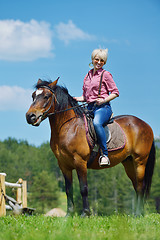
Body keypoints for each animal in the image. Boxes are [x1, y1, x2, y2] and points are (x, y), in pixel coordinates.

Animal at [26, 78, 155, 216]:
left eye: (46, 96)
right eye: (33, 96)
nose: (30, 116)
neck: (68, 127)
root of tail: (145, 125)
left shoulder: (80, 162)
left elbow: (83, 188)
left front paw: (85, 213)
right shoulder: (64, 165)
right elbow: (68, 189)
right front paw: (69, 214)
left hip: (139, 161)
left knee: (141, 186)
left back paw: (138, 213)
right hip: (129, 162)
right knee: (136, 186)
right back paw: (137, 213)